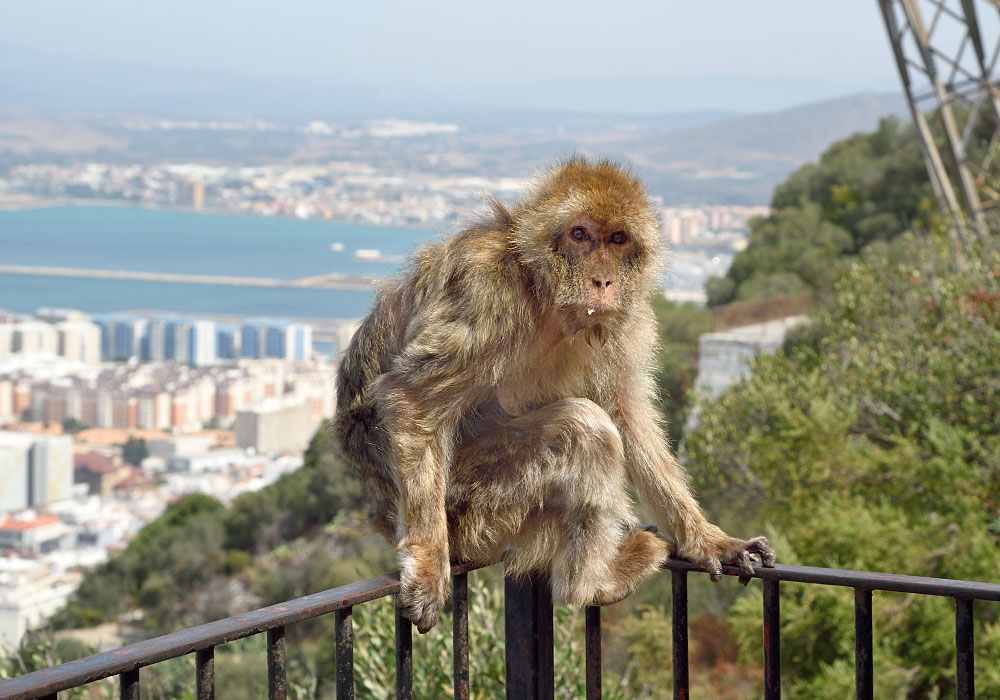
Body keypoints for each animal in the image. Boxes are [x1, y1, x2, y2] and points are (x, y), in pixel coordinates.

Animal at [331, 158, 775, 633]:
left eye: (617, 239)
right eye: (579, 235)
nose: (603, 280)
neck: (546, 296)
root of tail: (381, 513)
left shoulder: (629, 319)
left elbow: (628, 418)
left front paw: (708, 540)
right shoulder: (483, 294)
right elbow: (412, 397)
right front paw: (430, 565)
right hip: (472, 507)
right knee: (585, 430)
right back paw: (591, 584)